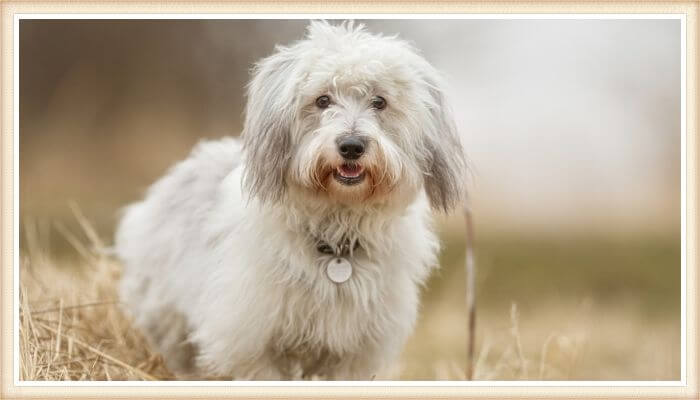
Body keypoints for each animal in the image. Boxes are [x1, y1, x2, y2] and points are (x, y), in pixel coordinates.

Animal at [113, 20, 464, 380]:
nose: (351, 146)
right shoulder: (251, 342)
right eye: (323, 100)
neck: (336, 240)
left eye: (379, 102)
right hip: (166, 318)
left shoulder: (353, 354)